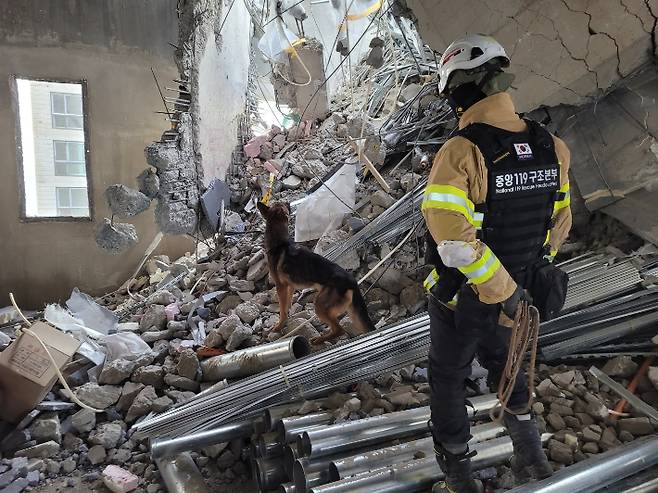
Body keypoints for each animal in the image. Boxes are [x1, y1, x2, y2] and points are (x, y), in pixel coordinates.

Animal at [258, 200, 376, 342]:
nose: (287, 202)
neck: (280, 242)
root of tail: (352, 281)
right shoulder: (290, 286)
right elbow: (288, 304)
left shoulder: (280, 286)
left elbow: (282, 310)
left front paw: (279, 326)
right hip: (349, 311)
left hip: (319, 305)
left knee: (339, 330)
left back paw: (318, 340)